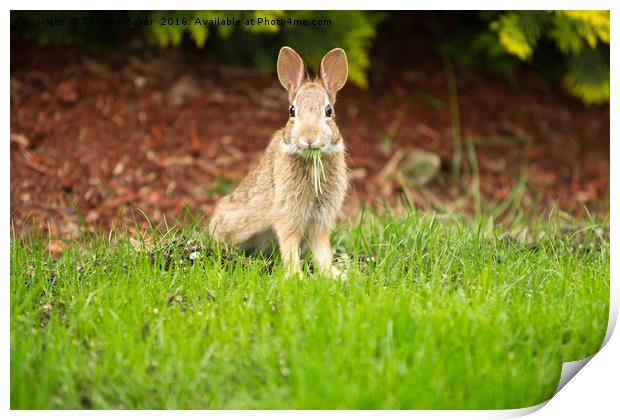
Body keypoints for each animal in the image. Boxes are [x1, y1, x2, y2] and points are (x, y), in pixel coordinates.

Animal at [209, 46, 348, 278]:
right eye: (292, 111)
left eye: (329, 111)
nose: (309, 137)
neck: (312, 160)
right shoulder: (288, 215)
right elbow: (289, 245)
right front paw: (296, 276)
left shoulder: (320, 220)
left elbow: (322, 251)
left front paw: (333, 275)